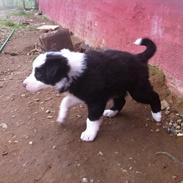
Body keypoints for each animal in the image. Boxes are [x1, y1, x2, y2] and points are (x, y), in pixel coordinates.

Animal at [23, 38, 162, 142]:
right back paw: (112, 112)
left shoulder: (96, 100)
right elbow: (65, 102)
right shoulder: (79, 93)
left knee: (154, 96)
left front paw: (89, 134)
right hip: (117, 87)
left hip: (138, 90)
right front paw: (62, 117)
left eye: (39, 74)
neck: (71, 70)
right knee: (121, 101)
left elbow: (91, 118)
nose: (23, 84)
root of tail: (139, 57)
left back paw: (157, 115)